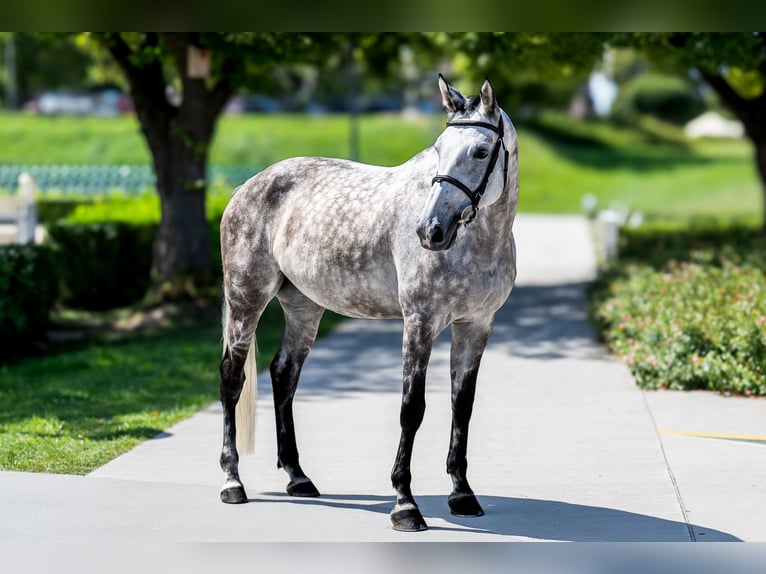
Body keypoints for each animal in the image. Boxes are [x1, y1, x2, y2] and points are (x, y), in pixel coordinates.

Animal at [218, 75, 519, 532]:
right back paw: (232, 482)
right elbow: (412, 408)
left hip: (304, 308)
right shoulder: (420, 322)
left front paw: (463, 494)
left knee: (283, 374)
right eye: (439, 148)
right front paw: (405, 505)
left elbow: (461, 406)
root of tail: (245, 187)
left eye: (481, 151)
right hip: (245, 299)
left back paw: (298, 477)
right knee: (231, 380)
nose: (430, 230)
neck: (479, 244)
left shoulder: (477, 324)